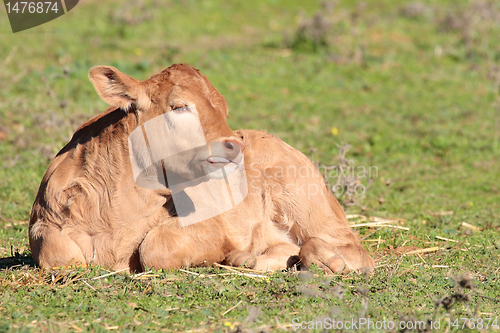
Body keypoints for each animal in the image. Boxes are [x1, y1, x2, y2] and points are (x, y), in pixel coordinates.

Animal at [28, 64, 376, 272]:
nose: (235, 144)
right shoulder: (44, 220)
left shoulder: (213, 227)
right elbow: (60, 256)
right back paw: (250, 259)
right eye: (180, 106)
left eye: (223, 108)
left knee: (346, 246)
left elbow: (155, 247)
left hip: (307, 201)